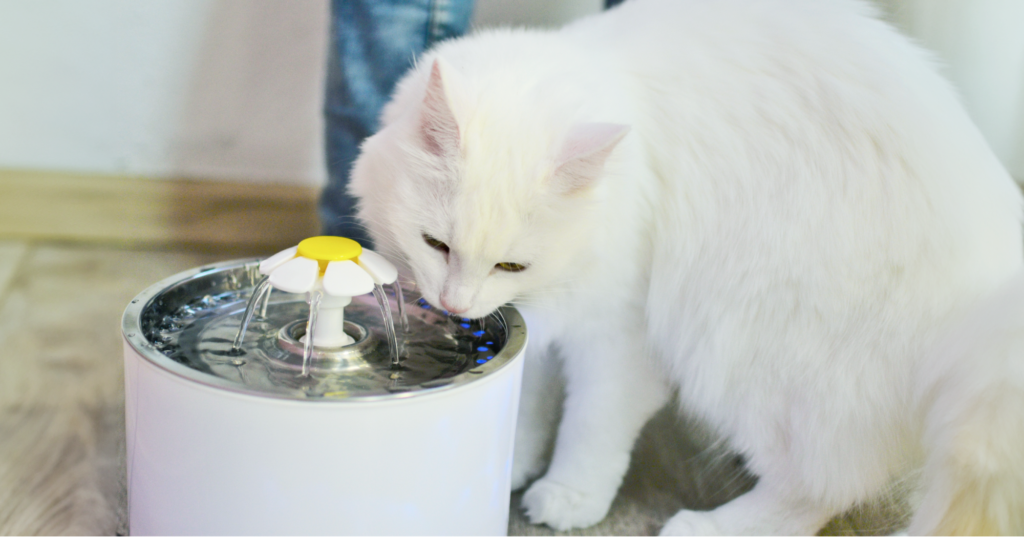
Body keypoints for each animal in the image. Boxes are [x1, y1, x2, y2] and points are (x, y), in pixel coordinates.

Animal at [350, 0, 1024, 528]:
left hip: (740, 352)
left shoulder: (619, 334)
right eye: (436, 245)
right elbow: (529, 399)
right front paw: (510, 460)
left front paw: (567, 496)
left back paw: (707, 527)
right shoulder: (534, 324)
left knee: (822, 486)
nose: (455, 304)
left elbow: (591, 424)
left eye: (511, 265)